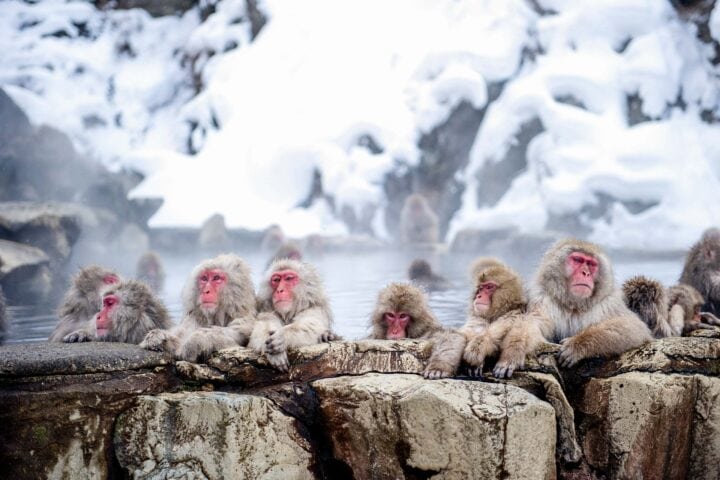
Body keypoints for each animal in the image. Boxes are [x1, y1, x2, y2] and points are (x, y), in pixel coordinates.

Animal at [497, 239, 652, 377]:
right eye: (578, 260)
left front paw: (577, 345)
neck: (574, 305)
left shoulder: (608, 303)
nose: (586, 273)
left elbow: (634, 327)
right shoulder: (542, 299)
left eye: (591, 264)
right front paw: (512, 354)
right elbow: (532, 323)